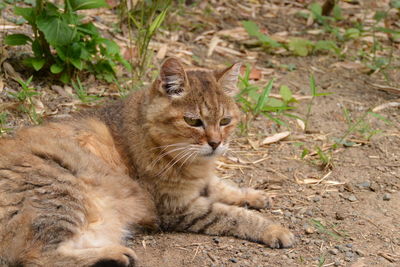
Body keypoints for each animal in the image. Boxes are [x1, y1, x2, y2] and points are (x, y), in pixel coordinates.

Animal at [0, 58, 294, 266]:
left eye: (225, 121)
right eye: (193, 121)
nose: (216, 143)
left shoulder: (199, 184)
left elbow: (225, 187)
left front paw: (255, 196)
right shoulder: (177, 208)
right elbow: (233, 215)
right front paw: (274, 229)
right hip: (62, 193)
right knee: (37, 258)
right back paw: (116, 255)